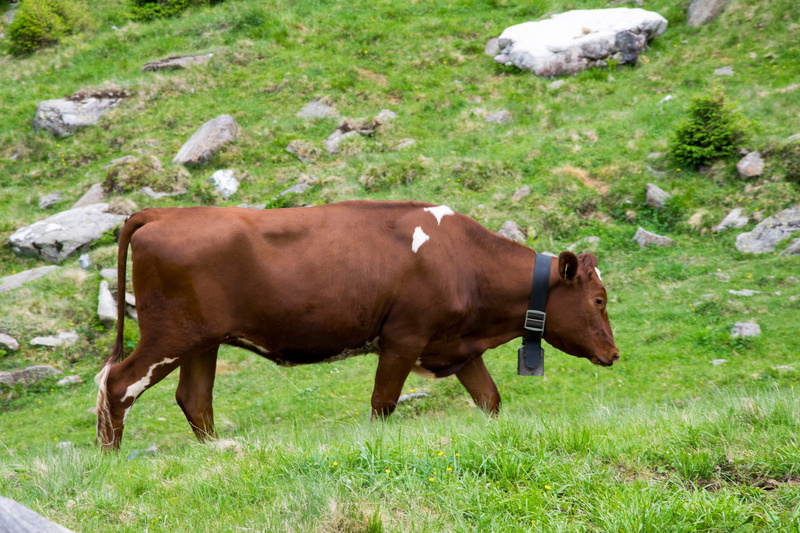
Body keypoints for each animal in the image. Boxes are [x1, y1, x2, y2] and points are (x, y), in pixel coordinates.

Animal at [96, 200, 618, 450]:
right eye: (598, 300)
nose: (614, 353)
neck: (462, 261)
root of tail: (163, 213)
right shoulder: (404, 338)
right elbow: (383, 403)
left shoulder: (457, 347)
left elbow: (489, 399)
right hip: (170, 335)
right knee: (118, 383)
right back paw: (109, 459)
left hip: (204, 341)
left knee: (194, 399)